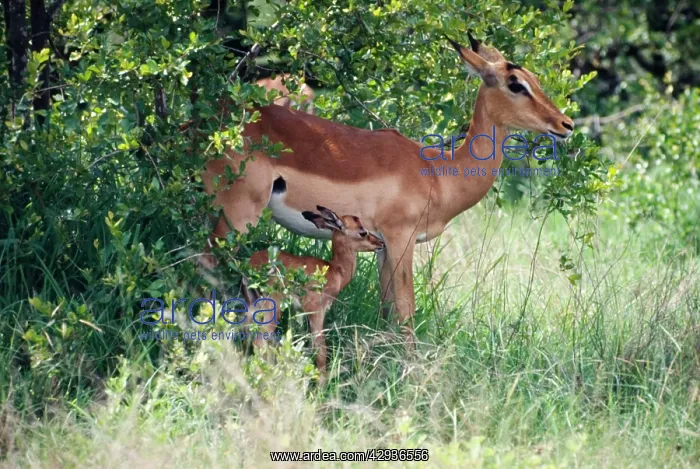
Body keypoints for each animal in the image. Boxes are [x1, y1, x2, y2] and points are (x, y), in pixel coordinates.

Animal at [198, 33, 575, 346]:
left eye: (534, 79)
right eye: (516, 84)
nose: (565, 124)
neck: (437, 173)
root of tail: (201, 126)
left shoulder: (381, 246)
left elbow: (387, 308)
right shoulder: (399, 238)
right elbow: (406, 308)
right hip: (237, 216)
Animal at [242, 206, 384, 381]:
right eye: (362, 231)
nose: (380, 243)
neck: (335, 271)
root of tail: (251, 267)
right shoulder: (316, 310)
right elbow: (320, 348)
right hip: (272, 306)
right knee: (260, 340)